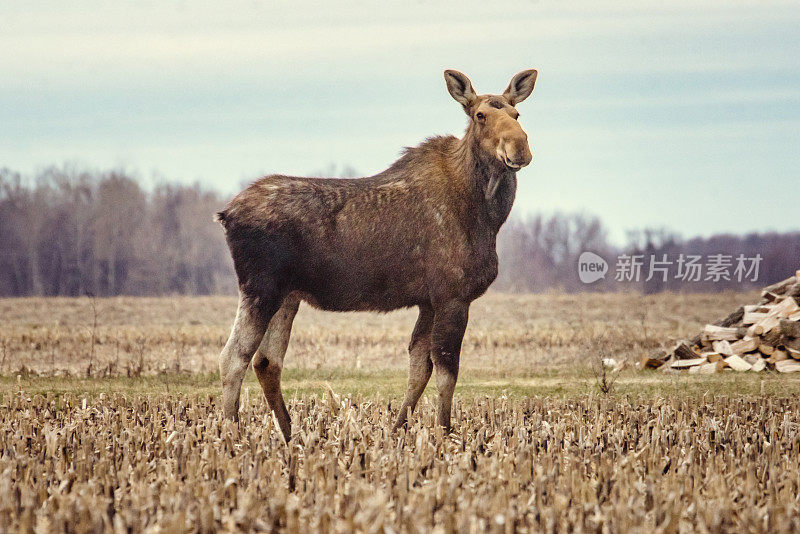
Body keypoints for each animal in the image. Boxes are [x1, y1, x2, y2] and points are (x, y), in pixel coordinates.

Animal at [216, 68, 536, 444]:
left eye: (517, 114)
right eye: (480, 115)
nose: (520, 147)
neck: (487, 215)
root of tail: (226, 215)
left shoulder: (428, 301)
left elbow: (419, 367)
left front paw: (398, 430)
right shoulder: (452, 295)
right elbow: (446, 371)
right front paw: (444, 434)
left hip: (286, 296)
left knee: (267, 361)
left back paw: (290, 434)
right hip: (260, 289)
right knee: (233, 358)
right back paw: (233, 435)